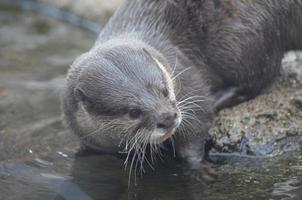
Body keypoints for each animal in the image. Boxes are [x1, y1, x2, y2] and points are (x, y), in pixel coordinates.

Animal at [61, 0, 302, 180]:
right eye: (133, 112)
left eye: (164, 90)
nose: (167, 117)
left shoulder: (186, 77)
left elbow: (196, 123)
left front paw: (197, 167)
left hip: (247, 34)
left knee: (261, 76)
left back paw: (219, 97)